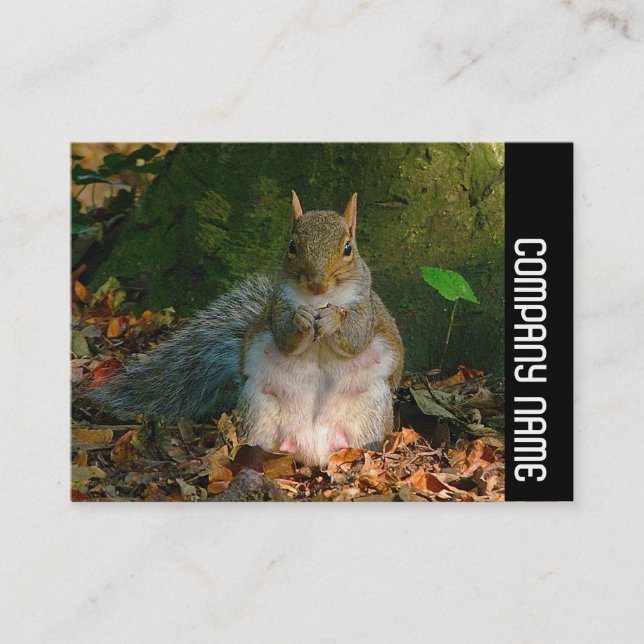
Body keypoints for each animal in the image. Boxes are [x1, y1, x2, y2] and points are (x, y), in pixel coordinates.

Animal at [95, 192, 404, 466]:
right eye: (292, 245)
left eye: (348, 248)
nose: (317, 283)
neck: (318, 299)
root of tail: (312, 448)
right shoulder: (278, 306)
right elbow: (285, 337)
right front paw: (301, 319)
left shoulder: (366, 308)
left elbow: (357, 337)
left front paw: (332, 319)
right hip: (259, 407)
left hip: (370, 410)